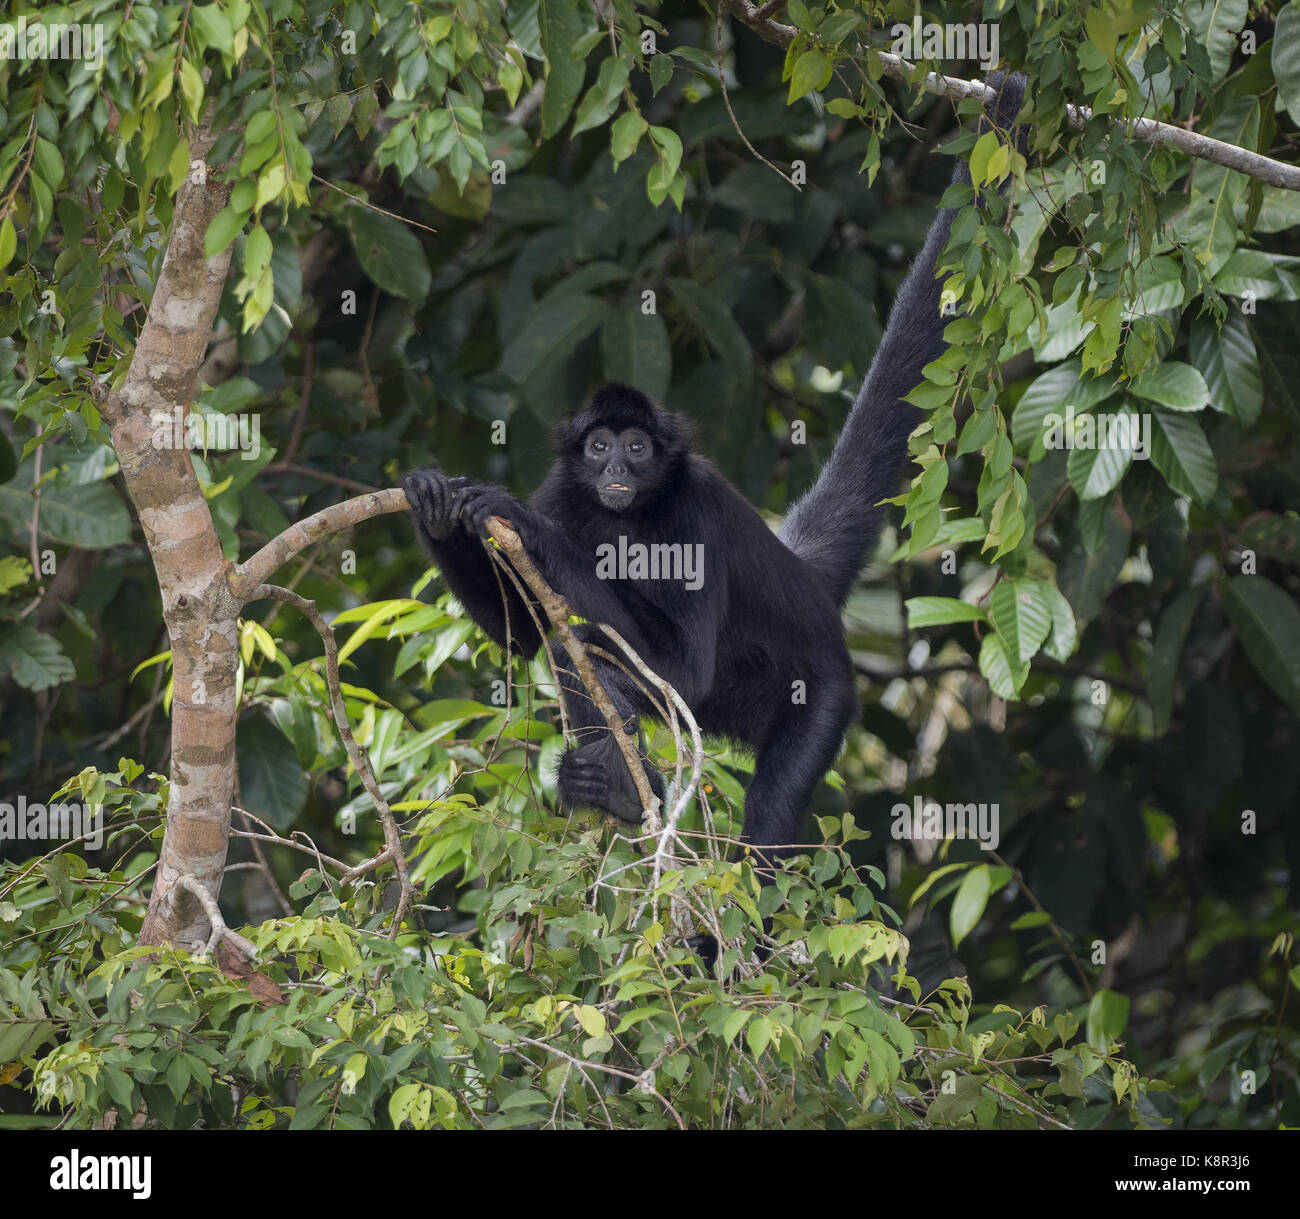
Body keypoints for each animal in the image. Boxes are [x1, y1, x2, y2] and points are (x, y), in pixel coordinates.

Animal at [403, 68, 1024, 883]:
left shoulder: (691, 508)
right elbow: (525, 636)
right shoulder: (567, 489)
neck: (629, 515)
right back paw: (620, 785)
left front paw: (520, 524)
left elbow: (681, 666)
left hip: (819, 694)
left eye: (638, 447)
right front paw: (435, 505)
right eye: (598, 447)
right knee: (578, 647)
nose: (617, 467)